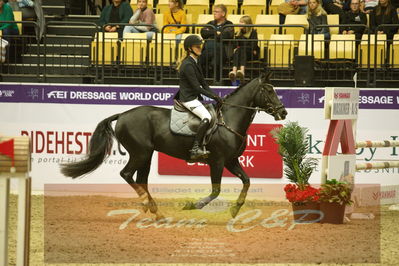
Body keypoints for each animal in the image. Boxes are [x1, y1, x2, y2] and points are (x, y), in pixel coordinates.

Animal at [60, 72, 288, 218]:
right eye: (268, 90)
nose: (283, 112)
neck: (229, 120)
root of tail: (123, 114)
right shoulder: (218, 161)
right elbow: (216, 191)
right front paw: (191, 205)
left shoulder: (231, 161)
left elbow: (247, 181)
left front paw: (235, 209)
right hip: (140, 153)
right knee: (127, 175)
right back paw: (149, 206)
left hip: (146, 155)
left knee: (141, 179)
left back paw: (155, 211)